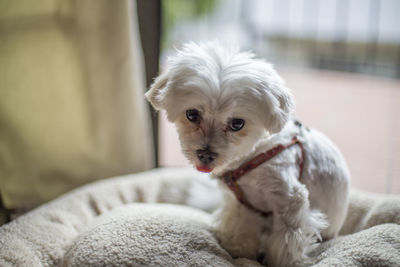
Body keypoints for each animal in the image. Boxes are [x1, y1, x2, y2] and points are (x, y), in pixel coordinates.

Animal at [145, 43, 350, 266]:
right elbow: (241, 229)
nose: (206, 155)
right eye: (192, 114)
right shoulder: (242, 206)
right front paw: (238, 251)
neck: (252, 159)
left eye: (237, 124)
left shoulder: (290, 201)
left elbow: (287, 241)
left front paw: (282, 261)